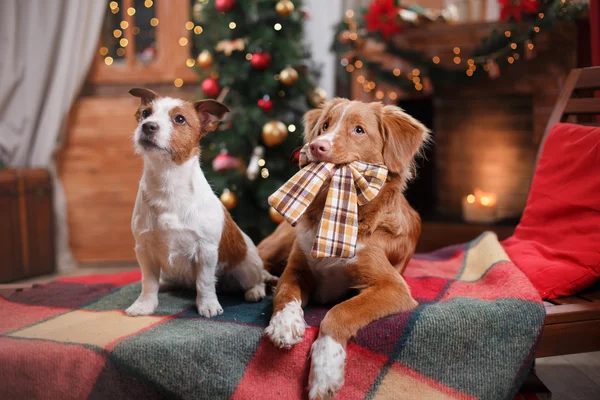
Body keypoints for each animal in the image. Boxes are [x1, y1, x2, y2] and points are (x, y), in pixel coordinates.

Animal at [127, 88, 276, 318]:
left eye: (179, 119)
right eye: (145, 114)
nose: (148, 126)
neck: (168, 182)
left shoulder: (205, 251)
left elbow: (205, 283)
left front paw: (208, 305)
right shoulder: (144, 250)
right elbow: (148, 282)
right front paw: (144, 305)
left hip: (247, 265)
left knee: (256, 279)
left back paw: (255, 291)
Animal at [260, 98, 428, 398]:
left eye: (359, 130)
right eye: (325, 125)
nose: (317, 146)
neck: (337, 214)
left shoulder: (393, 287)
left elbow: (339, 312)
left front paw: (326, 368)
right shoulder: (296, 268)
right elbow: (285, 292)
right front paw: (284, 324)